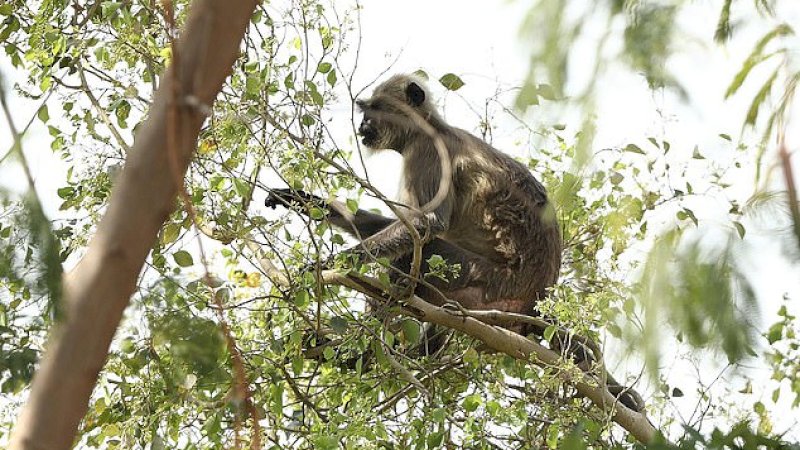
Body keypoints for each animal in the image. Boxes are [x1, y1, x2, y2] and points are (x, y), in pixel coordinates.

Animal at [266, 74, 648, 414]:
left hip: (489, 281)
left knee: (417, 257)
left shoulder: (426, 153)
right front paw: (302, 199)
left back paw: (360, 354)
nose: (362, 127)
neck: (433, 128)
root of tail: (539, 297)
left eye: (374, 110)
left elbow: (426, 226)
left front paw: (327, 266)